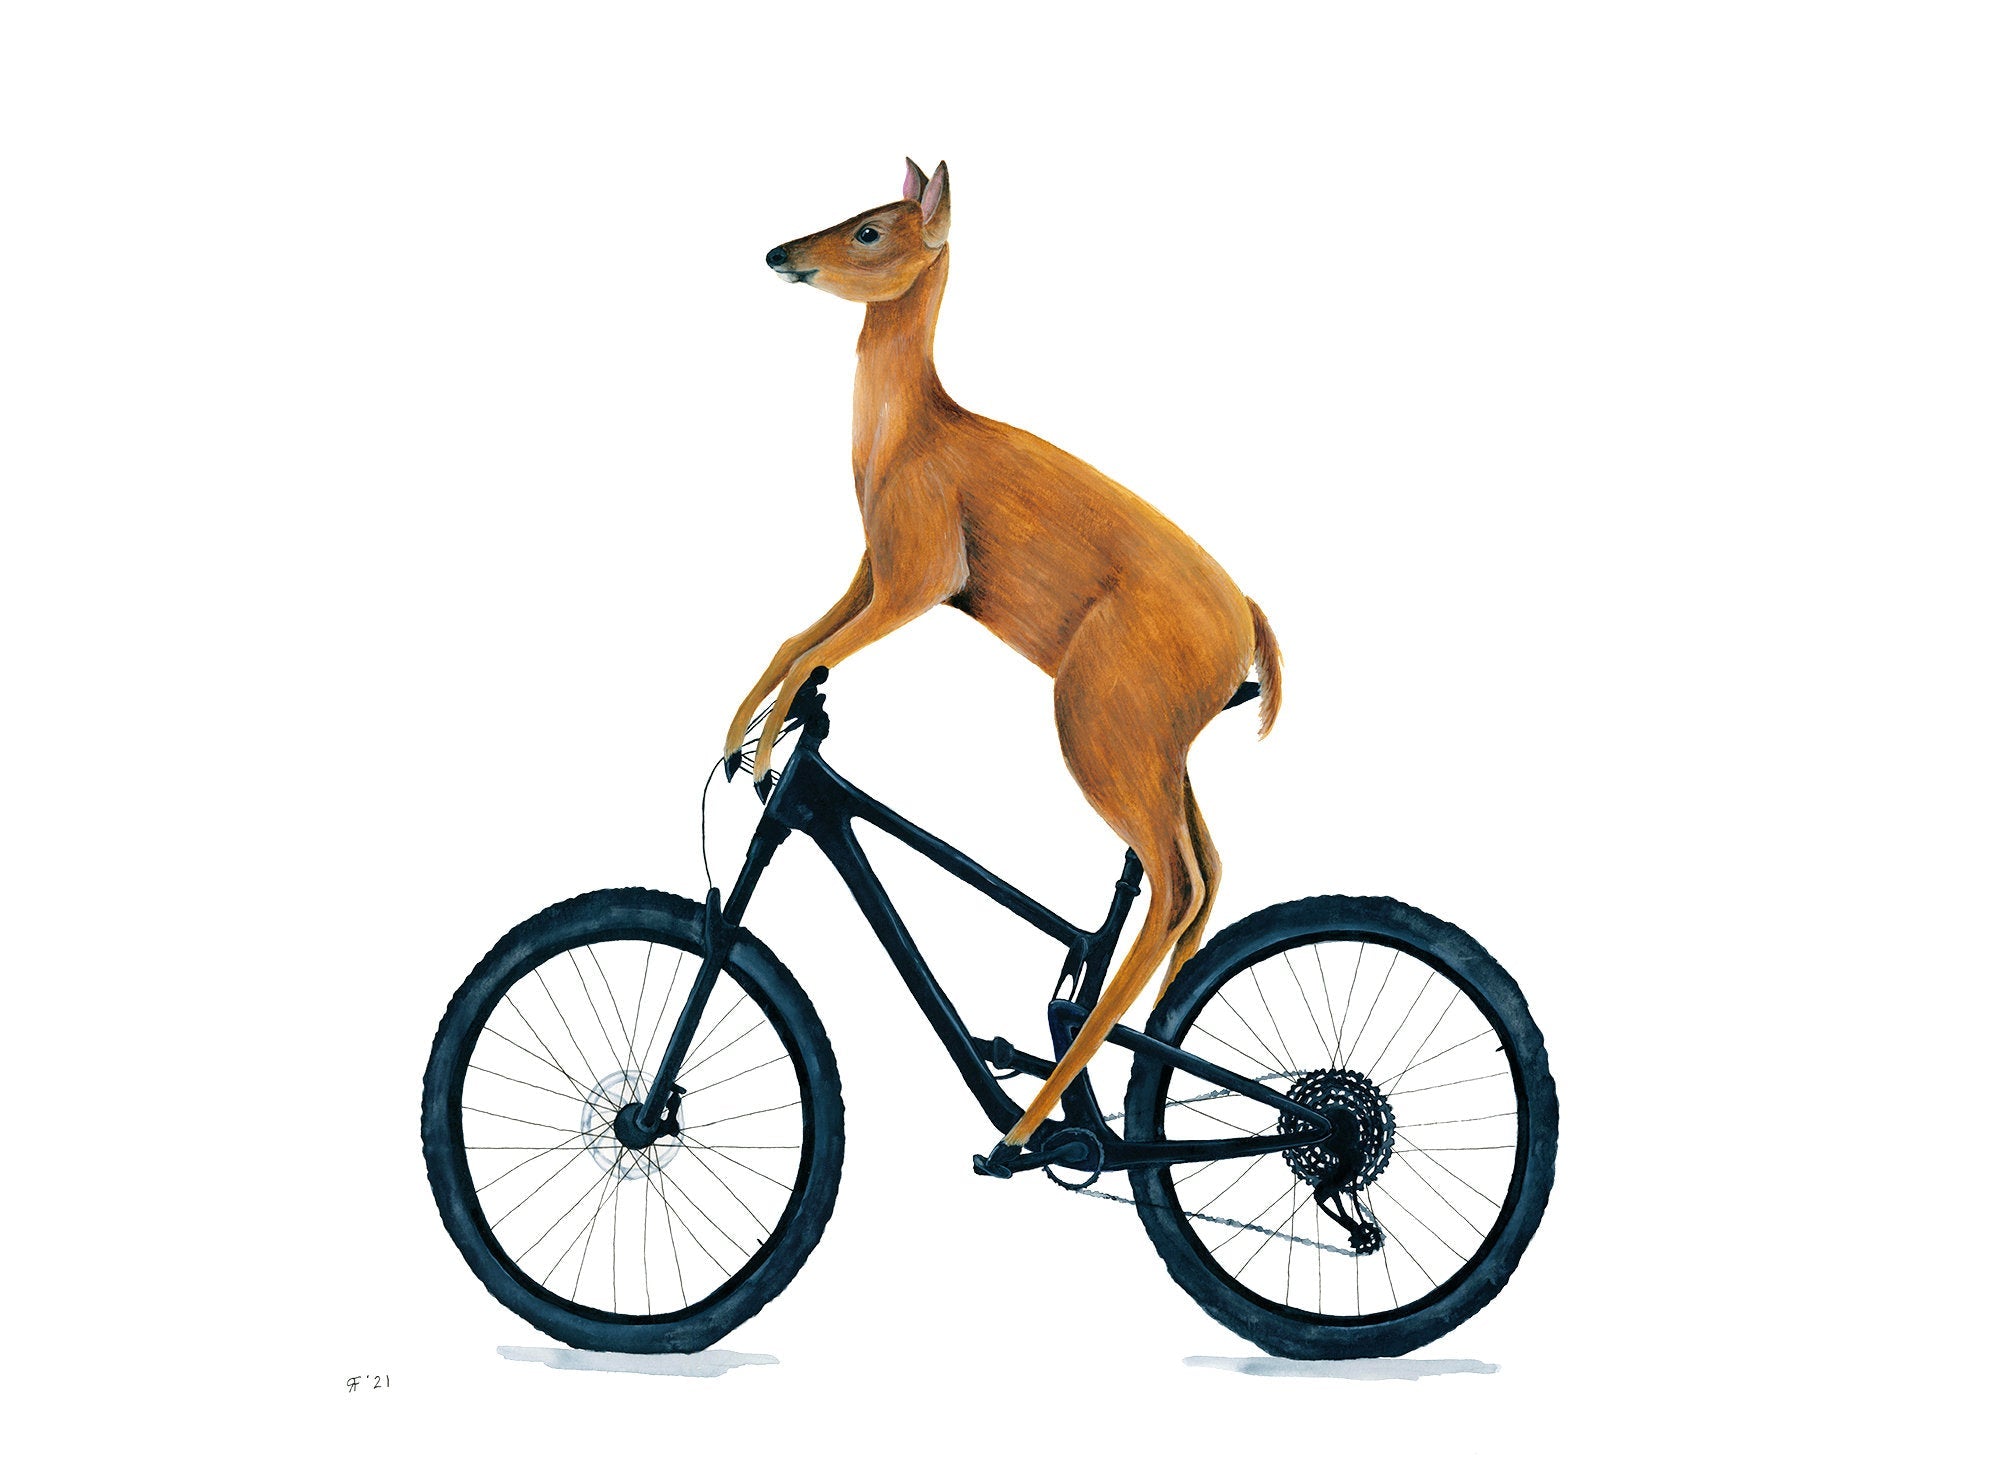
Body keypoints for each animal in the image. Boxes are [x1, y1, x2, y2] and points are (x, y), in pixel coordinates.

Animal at [723, 159, 1282, 1164]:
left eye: (871, 229)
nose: (780, 253)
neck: (911, 437)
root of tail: (1248, 627)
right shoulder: (873, 568)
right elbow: (797, 641)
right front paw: (741, 733)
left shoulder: (920, 575)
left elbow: (815, 649)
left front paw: (763, 753)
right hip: (1159, 749)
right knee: (1206, 873)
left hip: (1100, 724)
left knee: (1172, 883)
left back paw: (1037, 1123)